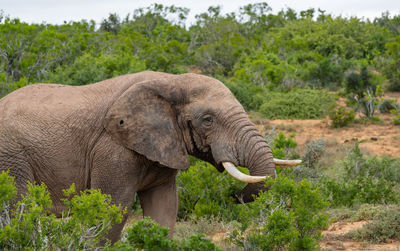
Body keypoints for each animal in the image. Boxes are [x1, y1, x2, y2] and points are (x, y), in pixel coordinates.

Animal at [0, 70, 300, 241]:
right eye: (207, 121)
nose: (234, 196)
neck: (171, 81)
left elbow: (164, 212)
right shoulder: (112, 148)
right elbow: (112, 213)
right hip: (11, 158)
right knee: (17, 213)